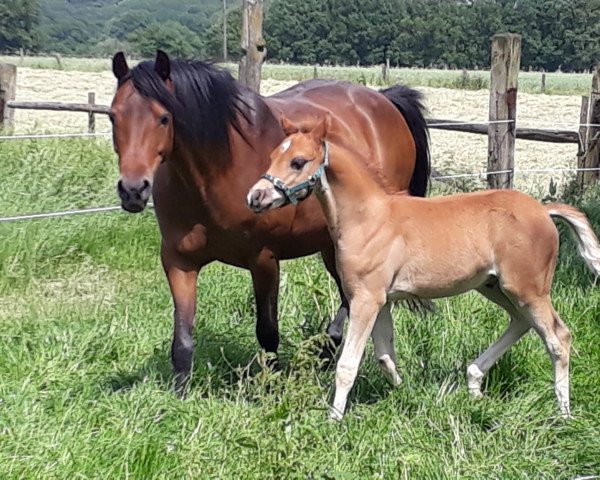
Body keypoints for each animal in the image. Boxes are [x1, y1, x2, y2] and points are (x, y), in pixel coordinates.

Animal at [106, 51, 426, 390]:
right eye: (113, 116)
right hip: (332, 243)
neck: (216, 171)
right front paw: (179, 394)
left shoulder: (263, 260)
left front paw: (271, 385)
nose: (133, 190)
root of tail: (383, 99)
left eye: (164, 118)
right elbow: (182, 338)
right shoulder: (178, 261)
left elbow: (268, 331)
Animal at [247, 113, 600, 420]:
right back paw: (474, 383)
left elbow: (348, 365)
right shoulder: (382, 300)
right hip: (493, 286)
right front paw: (405, 392)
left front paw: (334, 418)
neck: (368, 218)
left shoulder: (365, 299)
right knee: (521, 322)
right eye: (272, 156)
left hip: (528, 288)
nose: (255, 197)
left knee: (558, 337)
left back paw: (563, 412)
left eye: (298, 161)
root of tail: (543, 210)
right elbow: (385, 356)